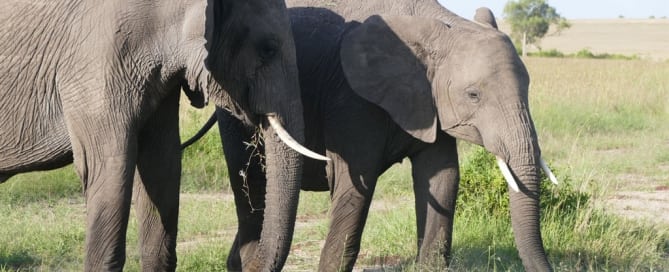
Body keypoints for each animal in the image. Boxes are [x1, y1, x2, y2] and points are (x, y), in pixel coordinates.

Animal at [184, 3, 560, 270]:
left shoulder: (429, 100)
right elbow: (355, 186)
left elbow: (443, 178)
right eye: (473, 96)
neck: (440, 23)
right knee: (249, 185)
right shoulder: (353, 99)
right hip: (234, 108)